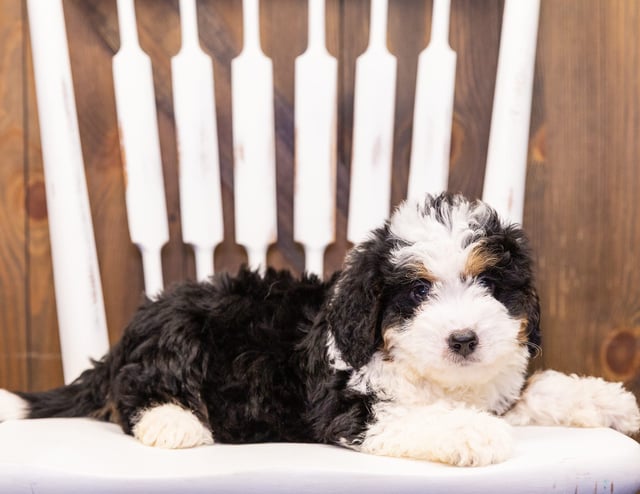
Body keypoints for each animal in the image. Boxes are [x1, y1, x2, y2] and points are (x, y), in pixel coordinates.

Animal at [0, 195, 636, 466]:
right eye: (417, 293)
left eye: (490, 284)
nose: (464, 339)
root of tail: (129, 333)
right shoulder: (350, 409)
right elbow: (416, 417)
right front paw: (473, 432)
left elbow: (541, 387)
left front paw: (612, 403)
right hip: (177, 335)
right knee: (137, 390)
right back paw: (174, 424)